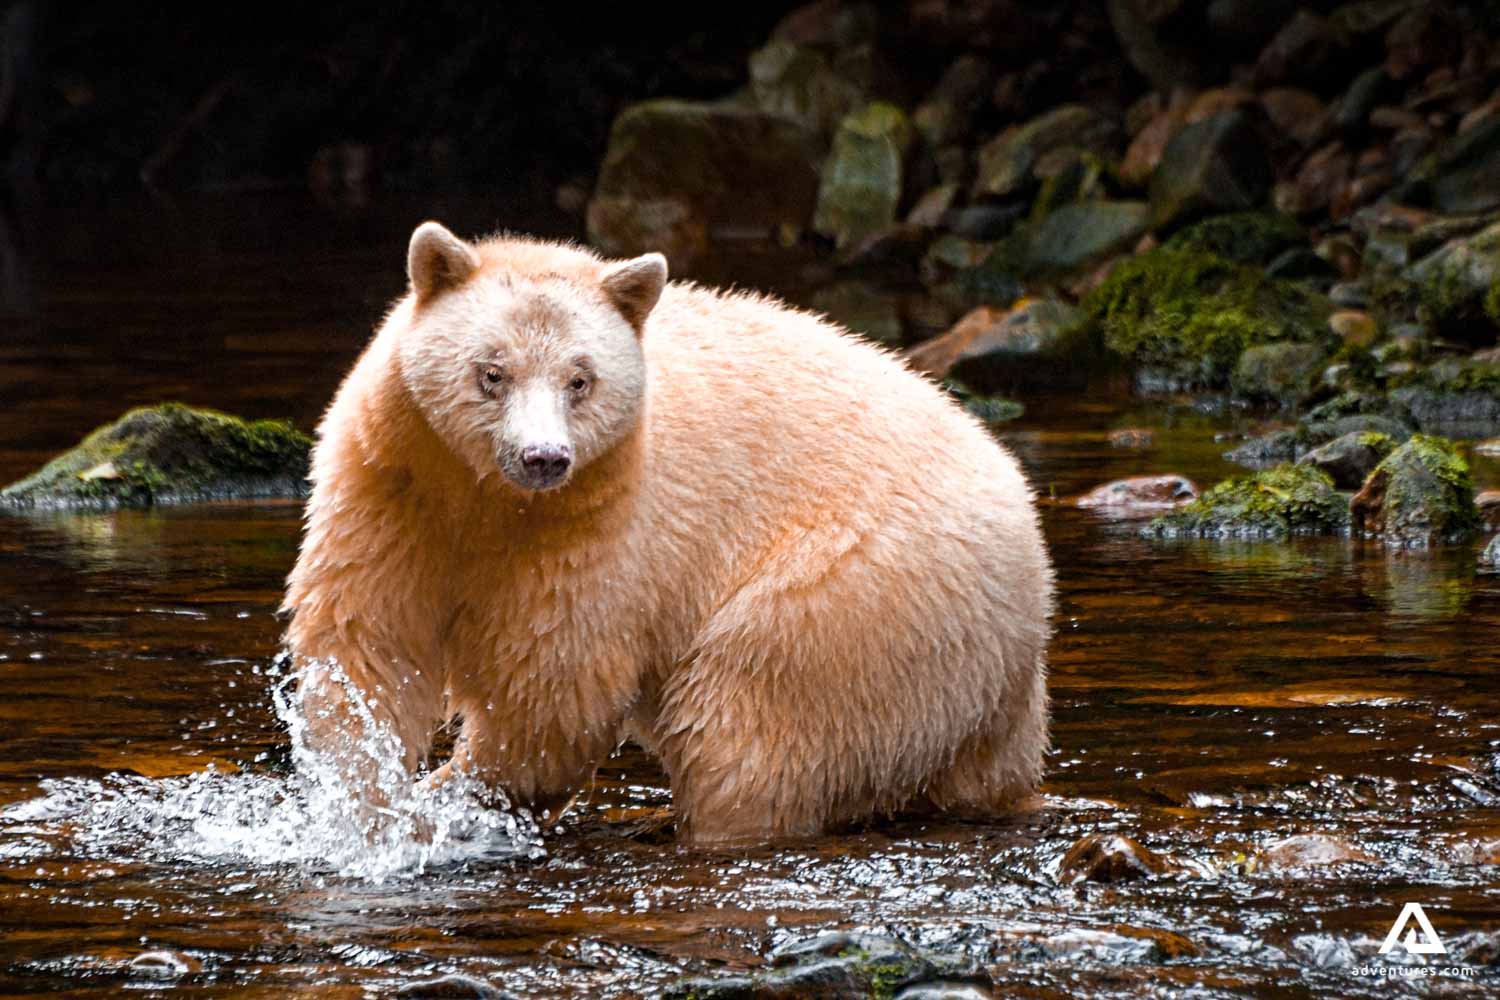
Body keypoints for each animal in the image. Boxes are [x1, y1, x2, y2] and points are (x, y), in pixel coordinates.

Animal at [282, 220, 1054, 845]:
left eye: (581, 380)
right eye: (492, 372)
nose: (543, 458)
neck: (486, 498)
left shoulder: (601, 526)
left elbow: (551, 692)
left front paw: (442, 802)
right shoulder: (392, 489)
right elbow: (365, 639)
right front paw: (362, 798)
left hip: (858, 601)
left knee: (746, 732)